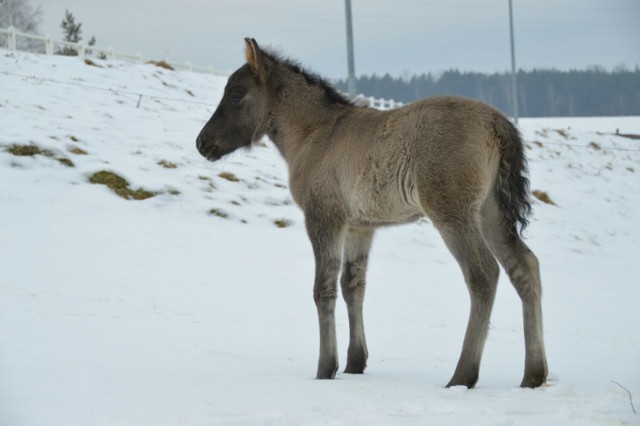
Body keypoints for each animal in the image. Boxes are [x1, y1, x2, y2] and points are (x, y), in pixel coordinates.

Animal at [196, 38, 552, 388]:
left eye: (236, 95)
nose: (202, 142)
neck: (314, 135)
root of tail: (497, 123)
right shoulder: (360, 227)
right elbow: (352, 285)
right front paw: (355, 362)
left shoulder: (324, 216)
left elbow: (323, 288)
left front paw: (325, 368)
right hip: (491, 213)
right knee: (525, 266)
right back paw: (533, 374)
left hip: (453, 212)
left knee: (483, 273)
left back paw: (463, 375)